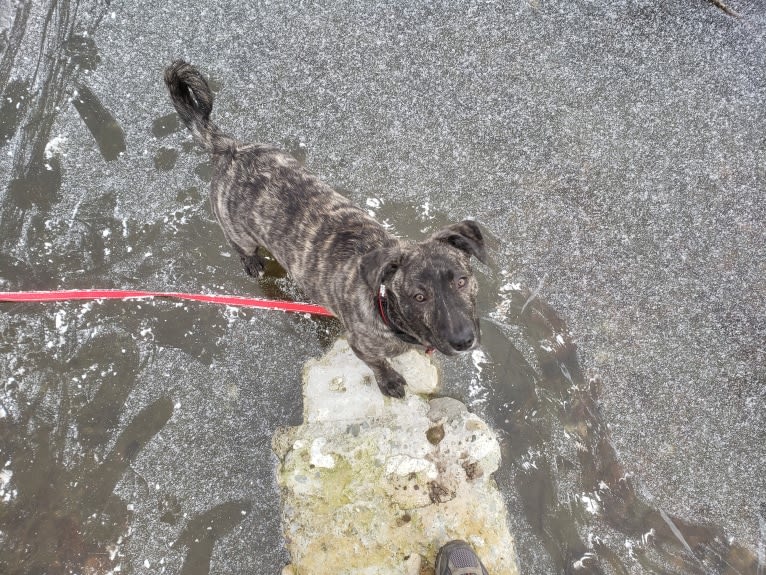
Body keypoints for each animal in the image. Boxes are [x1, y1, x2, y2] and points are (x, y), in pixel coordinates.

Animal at [165, 60, 488, 398]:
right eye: (418, 296)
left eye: (462, 281)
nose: (464, 341)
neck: (385, 304)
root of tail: (232, 150)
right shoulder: (361, 347)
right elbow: (378, 365)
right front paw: (390, 381)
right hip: (236, 229)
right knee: (240, 246)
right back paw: (253, 262)